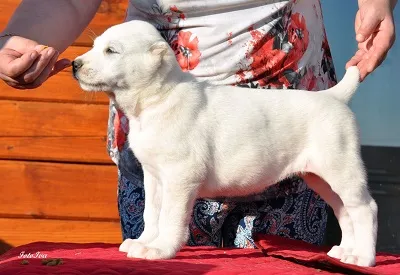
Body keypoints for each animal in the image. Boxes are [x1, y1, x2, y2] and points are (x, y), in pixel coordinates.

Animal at [72, 21, 378, 268]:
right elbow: (152, 212)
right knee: (345, 211)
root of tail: (334, 96)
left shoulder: (181, 177)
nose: (74, 64)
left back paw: (363, 258)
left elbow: (169, 215)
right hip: (321, 178)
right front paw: (144, 242)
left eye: (111, 51)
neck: (160, 97)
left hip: (342, 169)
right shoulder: (154, 176)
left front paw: (160, 249)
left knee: (365, 209)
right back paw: (346, 252)